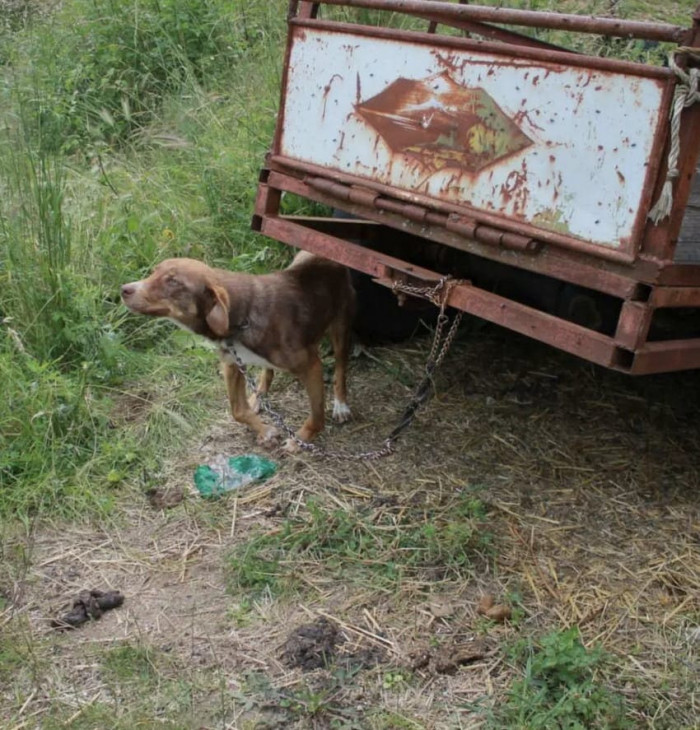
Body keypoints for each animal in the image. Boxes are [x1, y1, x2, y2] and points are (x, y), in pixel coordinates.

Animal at [119, 252, 356, 450]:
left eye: (173, 282)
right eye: (154, 271)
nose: (125, 289)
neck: (242, 318)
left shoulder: (311, 365)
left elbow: (317, 415)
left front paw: (300, 440)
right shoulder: (232, 364)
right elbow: (237, 411)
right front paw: (266, 431)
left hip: (340, 327)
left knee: (340, 366)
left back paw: (341, 405)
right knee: (267, 372)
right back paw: (259, 396)